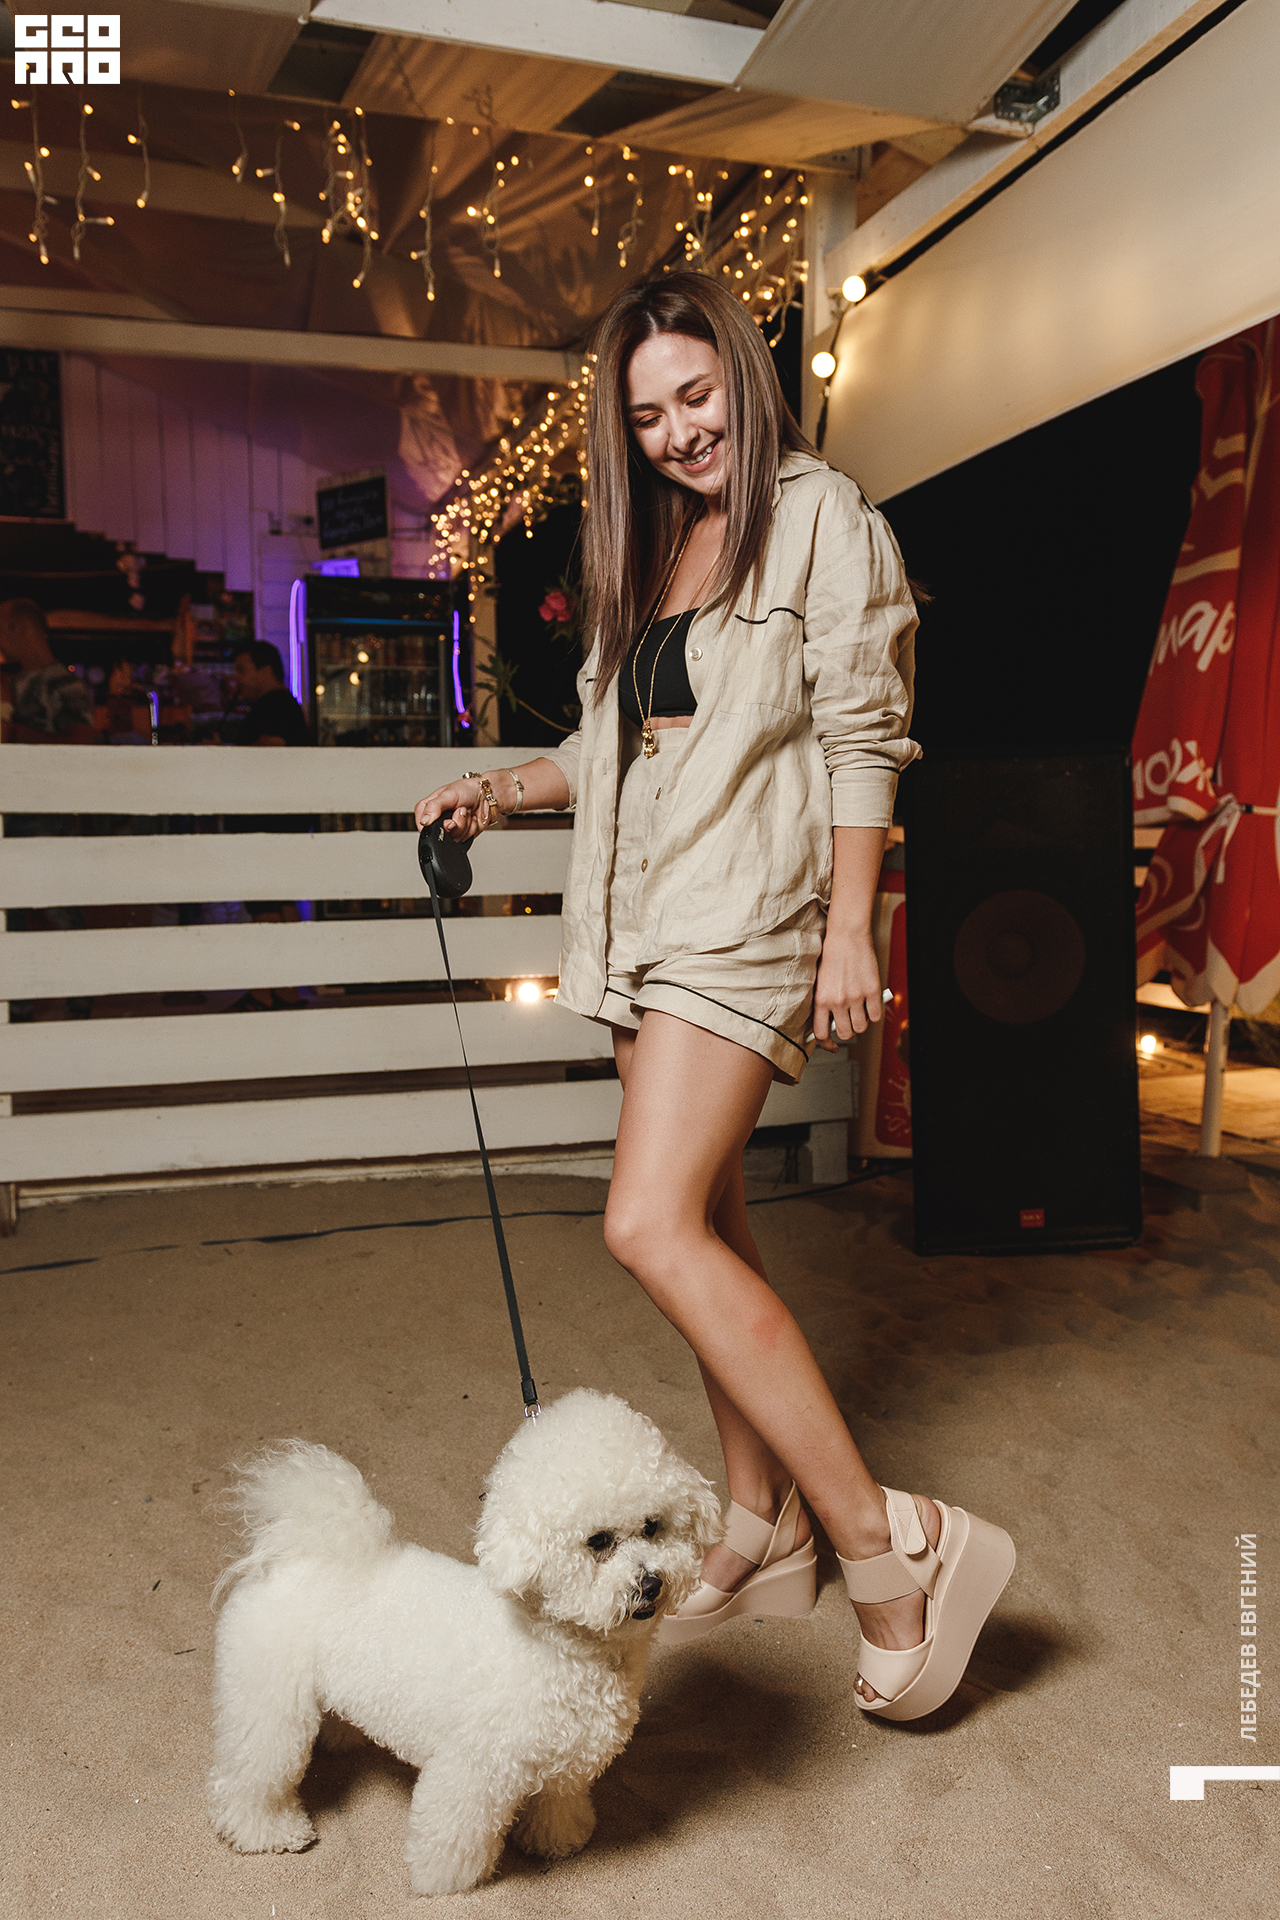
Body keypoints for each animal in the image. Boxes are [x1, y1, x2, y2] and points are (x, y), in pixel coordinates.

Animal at [207, 1390, 721, 1896]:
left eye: (652, 1526)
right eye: (598, 1541)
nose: (651, 1584)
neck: (555, 1645)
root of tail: (300, 1552)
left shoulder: (564, 1760)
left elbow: (557, 1803)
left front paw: (557, 1839)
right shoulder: (472, 1769)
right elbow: (453, 1833)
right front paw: (444, 1880)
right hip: (269, 1708)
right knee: (248, 1778)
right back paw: (268, 1831)